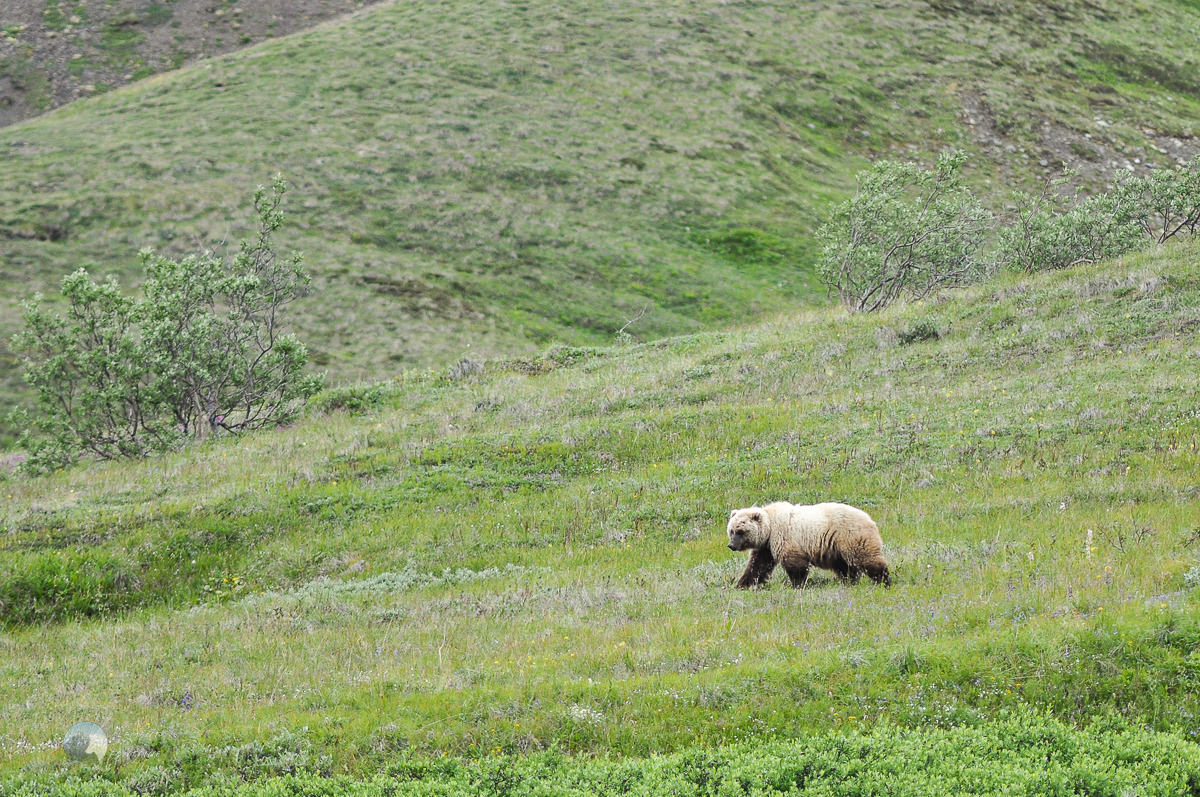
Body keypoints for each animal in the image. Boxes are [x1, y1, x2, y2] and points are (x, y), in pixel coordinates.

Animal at [720, 501, 892, 588]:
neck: (770, 528)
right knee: (845, 567)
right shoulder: (766, 546)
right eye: (731, 530)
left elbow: (795, 563)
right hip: (836, 547)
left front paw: (797, 584)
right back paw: (850, 581)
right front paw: (744, 584)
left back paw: (883, 580)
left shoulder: (784, 537)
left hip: (850, 536)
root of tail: (869, 518)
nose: (731, 545)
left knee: (867, 559)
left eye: (740, 531)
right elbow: (758, 565)